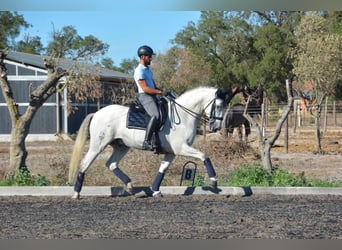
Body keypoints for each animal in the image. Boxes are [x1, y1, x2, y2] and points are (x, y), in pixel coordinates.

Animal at [68, 87, 231, 198]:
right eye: (218, 106)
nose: (216, 127)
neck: (184, 116)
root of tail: (97, 113)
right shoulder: (181, 148)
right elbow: (204, 156)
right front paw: (214, 181)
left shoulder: (171, 152)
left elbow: (162, 169)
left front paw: (155, 190)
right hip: (98, 146)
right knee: (85, 164)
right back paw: (76, 194)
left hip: (121, 146)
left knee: (112, 164)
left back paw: (129, 186)